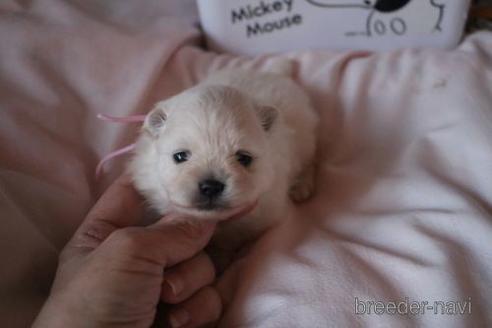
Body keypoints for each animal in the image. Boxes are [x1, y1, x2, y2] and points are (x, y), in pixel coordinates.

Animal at [129, 67, 318, 270]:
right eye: (180, 156)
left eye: (244, 158)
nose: (211, 186)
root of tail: (273, 72)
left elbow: (231, 238)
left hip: (306, 140)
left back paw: (302, 188)